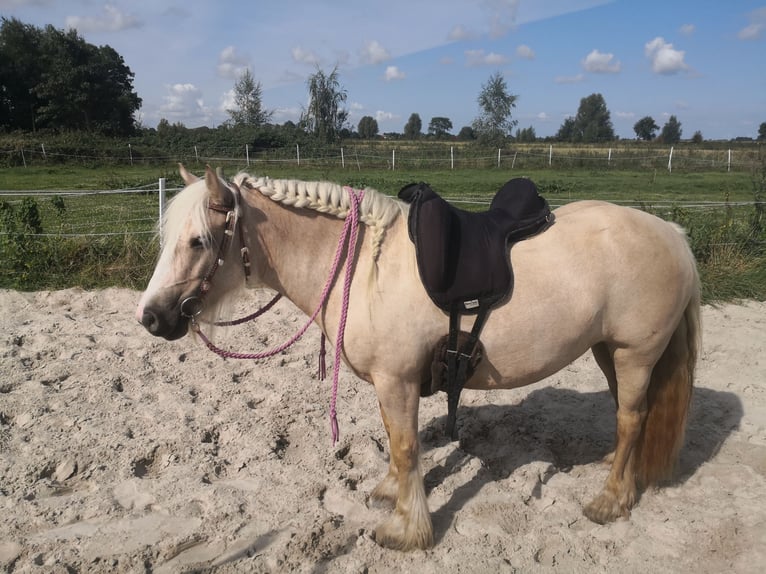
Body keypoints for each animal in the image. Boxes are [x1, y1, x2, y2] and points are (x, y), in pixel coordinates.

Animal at [136, 166, 704, 552]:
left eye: (198, 241)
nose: (151, 317)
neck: (366, 266)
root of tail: (672, 233)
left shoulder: (398, 379)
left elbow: (408, 447)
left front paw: (407, 530)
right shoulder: (393, 383)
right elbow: (395, 442)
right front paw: (391, 493)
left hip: (634, 354)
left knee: (632, 418)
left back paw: (610, 501)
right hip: (608, 351)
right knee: (630, 416)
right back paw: (617, 475)